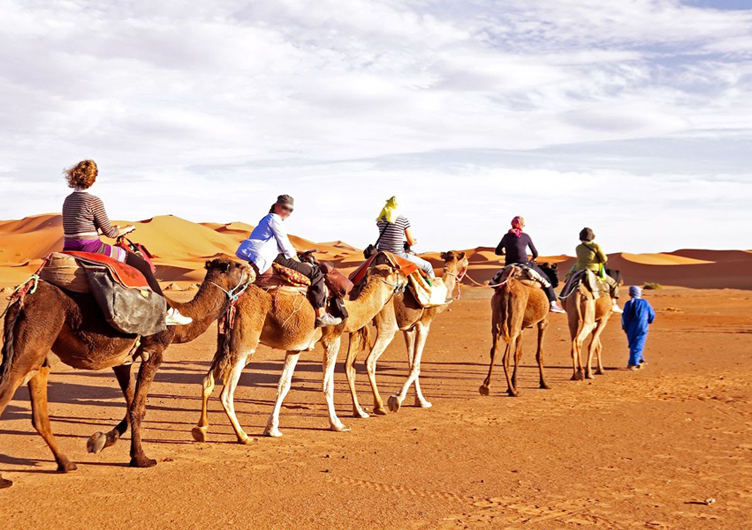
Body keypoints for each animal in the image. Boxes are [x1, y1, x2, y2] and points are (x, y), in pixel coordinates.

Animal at [0, 256, 253, 486]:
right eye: (237, 265)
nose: (252, 269)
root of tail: (22, 298)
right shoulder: (153, 352)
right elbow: (138, 408)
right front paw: (141, 459)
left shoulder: (123, 360)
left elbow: (132, 403)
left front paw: (102, 440)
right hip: (33, 338)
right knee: (7, 390)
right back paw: (5, 480)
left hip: (39, 353)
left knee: (39, 410)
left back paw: (66, 463)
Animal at [194, 264, 406, 442]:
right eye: (396, 271)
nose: (405, 278)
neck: (350, 310)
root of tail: (233, 301)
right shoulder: (332, 338)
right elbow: (328, 384)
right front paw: (337, 424)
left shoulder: (295, 347)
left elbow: (284, 385)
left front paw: (272, 429)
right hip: (243, 346)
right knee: (226, 394)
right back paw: (243, 436)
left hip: (224, 343)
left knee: (207, 381)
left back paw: (201, 430)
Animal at [344, 250, 468, 414]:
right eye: (464, 259)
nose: (467, 265)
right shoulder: (424, 324)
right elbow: (416, 366)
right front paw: (396, 399)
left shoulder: (408, 328)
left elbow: (411, 363)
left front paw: (420, 401)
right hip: (387, 325)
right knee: (370, 360)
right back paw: (379, 406)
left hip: (357, 321)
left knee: (348, 365)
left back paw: (358, 411)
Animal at [478, 262, 556, 394]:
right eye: (554, 271)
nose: (556, 282)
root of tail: (507, 287)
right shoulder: (543, 322)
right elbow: (539, 353)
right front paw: (544, 383)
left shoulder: (521, 328)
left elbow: (518, 354)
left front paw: (515, 383)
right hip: (513, 321)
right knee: (505, 357)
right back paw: (512, 391)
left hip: (497, 318)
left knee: (494, 350)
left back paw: (486, 386)